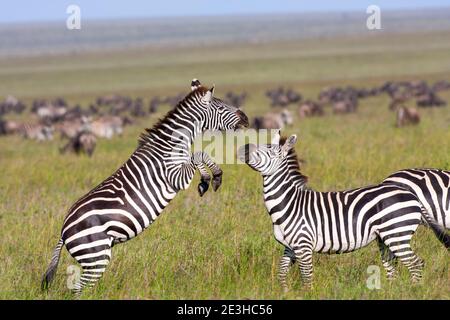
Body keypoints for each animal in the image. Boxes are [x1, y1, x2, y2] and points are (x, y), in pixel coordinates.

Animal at [42, 79, 250, 294]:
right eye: (221, 107)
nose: (246, 118)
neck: (174, 143)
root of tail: (63, 230)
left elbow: (199, 156)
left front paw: (209, 177)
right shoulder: (174, 176)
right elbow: (198, 155)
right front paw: (211, 178)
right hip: (96, 255)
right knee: (78, 289)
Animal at [237, 131, 444, 292]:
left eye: (270, 151)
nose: (243, 148)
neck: (289, 203)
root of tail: (411, 194)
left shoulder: (303, 244)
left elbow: (307, 277)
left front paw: (307, 294)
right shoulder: (290, 246)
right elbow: (281, 273)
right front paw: (285, 292)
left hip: (396, 233)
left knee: (416, 264)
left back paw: (413, 290)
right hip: (386, 237)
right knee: (393, 266)